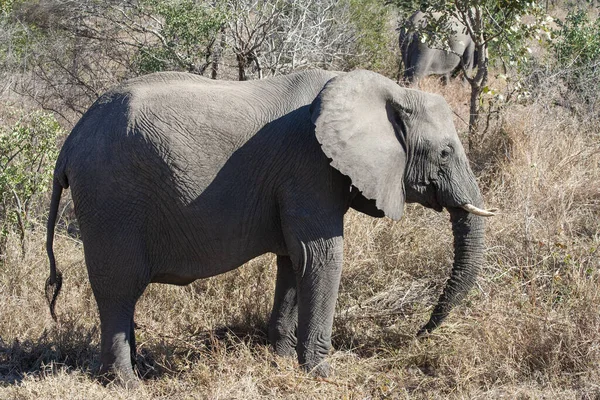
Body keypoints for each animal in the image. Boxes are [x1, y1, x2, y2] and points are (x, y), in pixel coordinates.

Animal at [44, 69, 494, 388]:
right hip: (110, 198)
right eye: (445, 153)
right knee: (118, 289)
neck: (384, 89)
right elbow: (321, 254)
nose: (420, 331)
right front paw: (322, 374)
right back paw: (127, 384)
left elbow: (294, 261)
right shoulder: (310, 166)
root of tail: (70, 142)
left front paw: (280, 361)